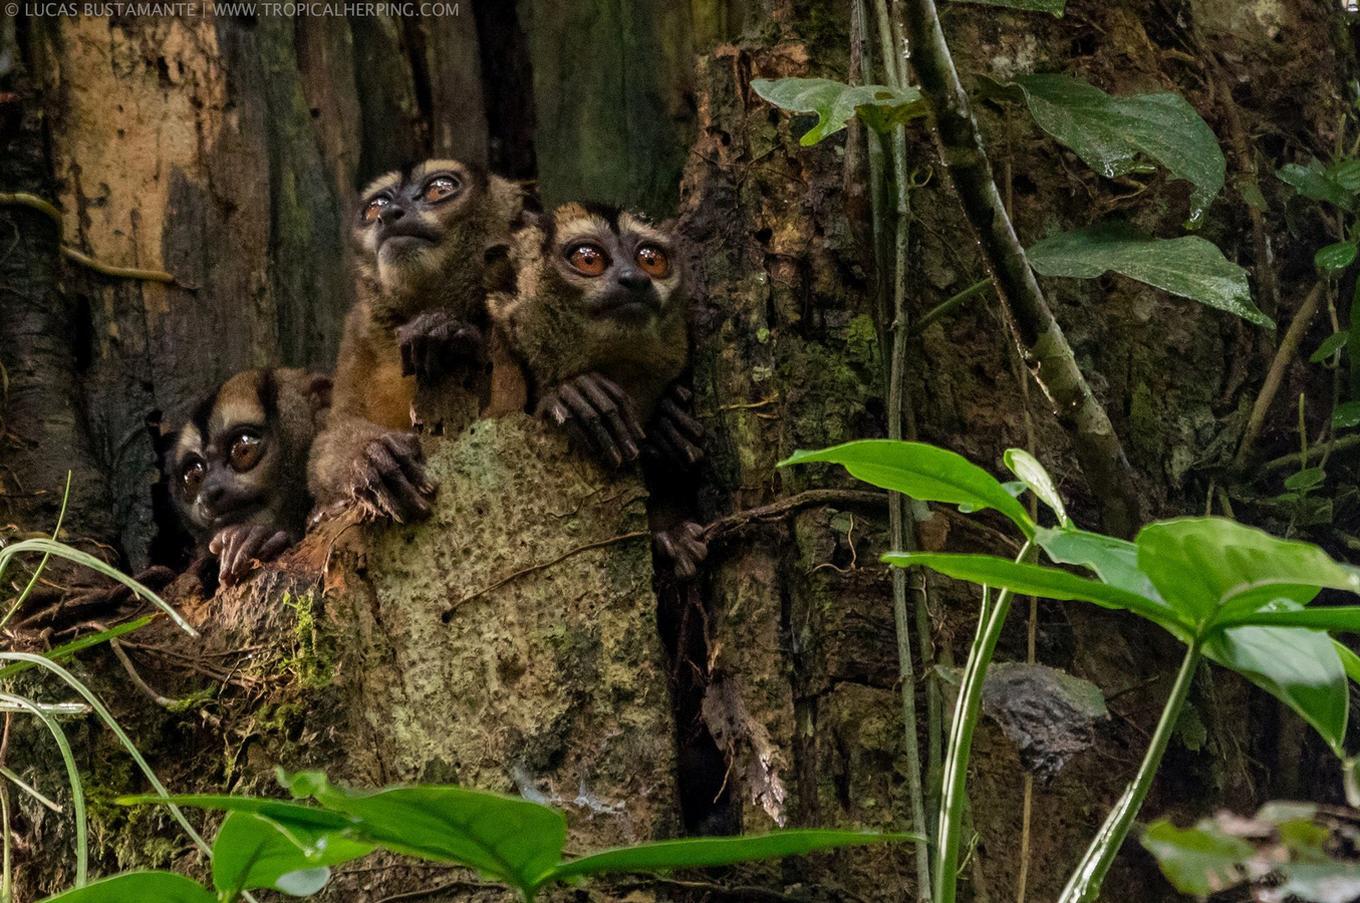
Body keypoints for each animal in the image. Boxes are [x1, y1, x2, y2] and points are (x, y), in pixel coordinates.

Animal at [311, 158, 527, 519]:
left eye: (439, 189)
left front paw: (444, 332)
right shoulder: (358, 331)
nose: (389, 214)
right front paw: (372, 457)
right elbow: (332, 432)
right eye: (376, 206)